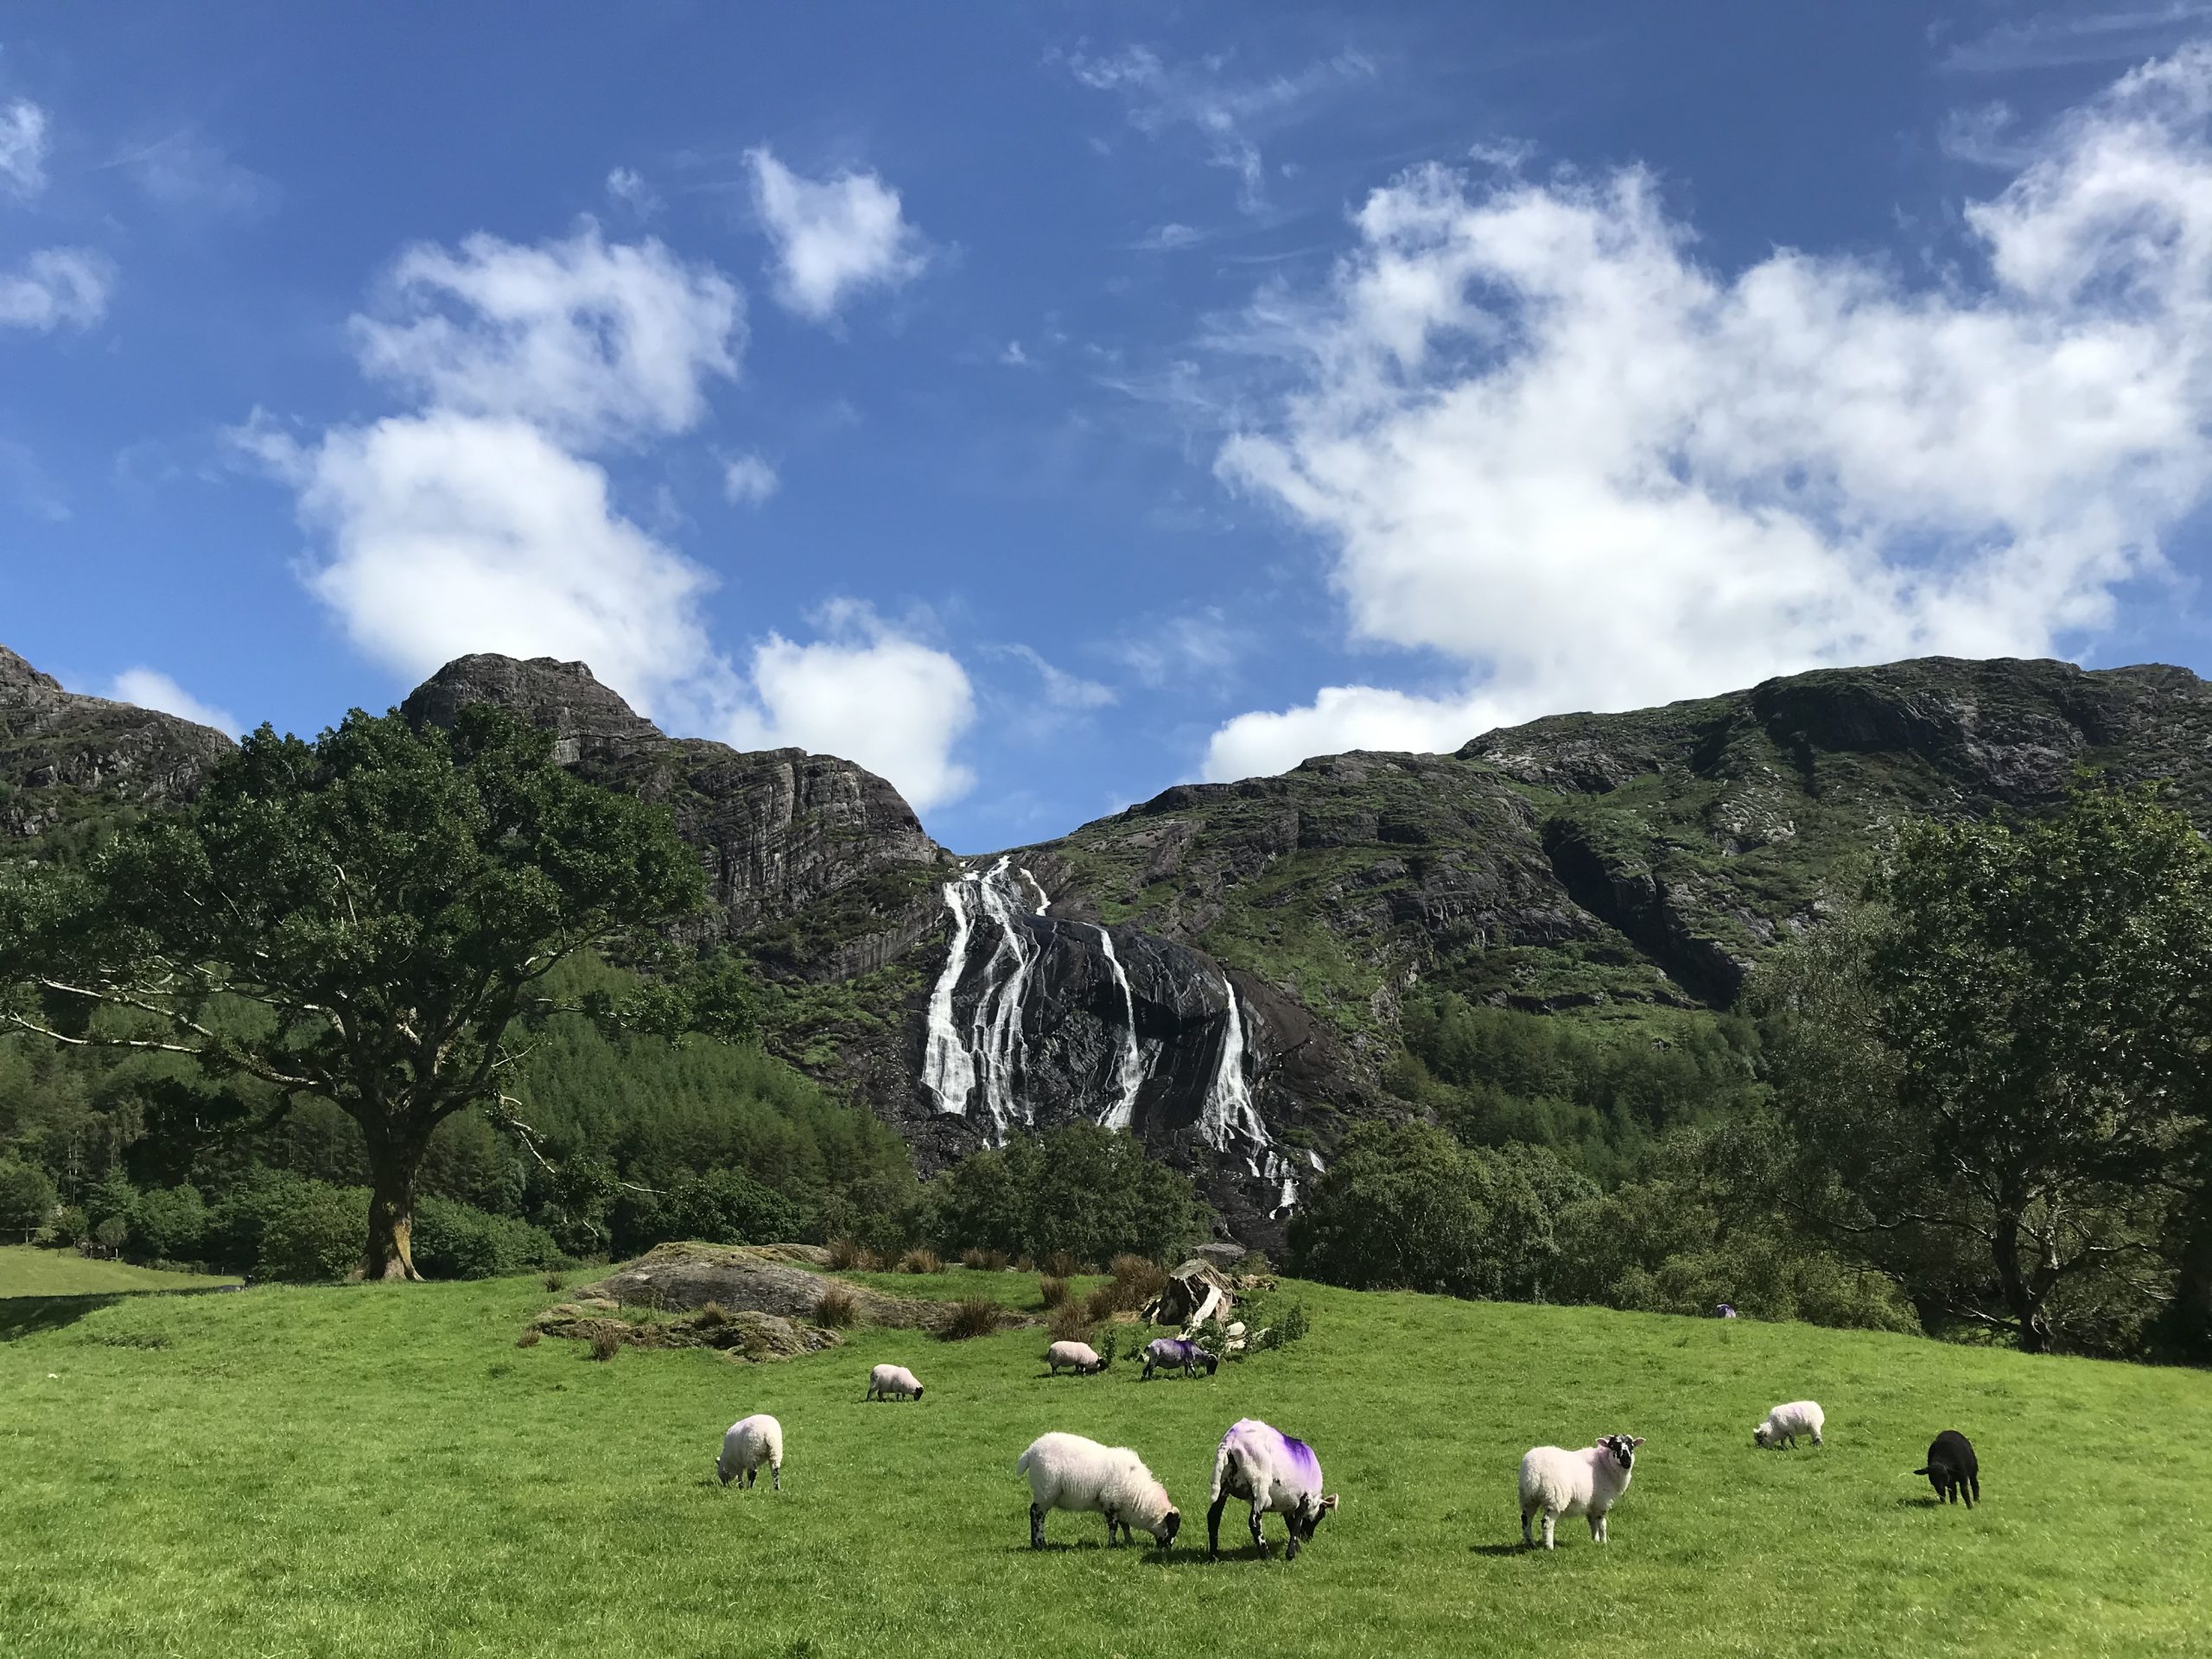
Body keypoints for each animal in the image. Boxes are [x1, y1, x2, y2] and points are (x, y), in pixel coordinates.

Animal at [1017, 1433, 1185, 1557]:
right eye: (1173, 1527)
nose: (1167, 1550)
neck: (1138, 1494)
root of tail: (1031, 1450)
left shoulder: (1120, 1506)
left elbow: (1125, 1526)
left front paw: (1129, 1542)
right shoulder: (1110, 1502)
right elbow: (1113, 1526)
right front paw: (1113, 1545)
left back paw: (1036, 1543)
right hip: (1046, 1490)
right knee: (1036, 1514)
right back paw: (1040, 1542)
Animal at [1203, 1424, 1336, 1566]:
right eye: (1321, 1516)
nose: (1308, 1538)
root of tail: (1231, 1440)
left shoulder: (1289, 1504)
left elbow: (1291, 1524)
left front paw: (1296, 1548)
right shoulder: (1305, 1498)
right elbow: (1297, 1524)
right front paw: (1291, 1554)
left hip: (1224, 1483)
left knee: (1213, 1517)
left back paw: (1214, 1557)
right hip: (1260, 1486)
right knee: (1254, 1521)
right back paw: (1267, 1556)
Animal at [1522, 1433, 1645, 1557]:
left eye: (1632, 1446)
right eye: (1613, 1446)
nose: (1627, 1462)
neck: (1604, 1464)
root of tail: (1534, 1469)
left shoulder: (1591, 1504)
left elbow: (1593, 1524)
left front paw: (1595, 1541)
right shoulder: (1602, 1502)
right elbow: (1602, 1524)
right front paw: (1604, 1542)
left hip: (1528, 1498)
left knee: (1526, 1520)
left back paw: (1531, 1544)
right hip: (1555, 1498)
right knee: (1547, 1523)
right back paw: (1549, 1547)